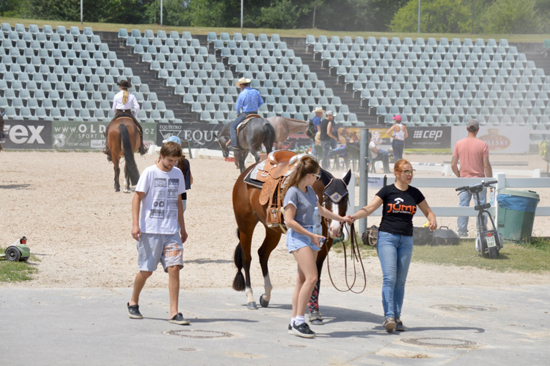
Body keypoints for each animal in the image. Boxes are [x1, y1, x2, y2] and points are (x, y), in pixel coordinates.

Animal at [233, 157, 354, 318]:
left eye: (345, 197)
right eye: (326, 198)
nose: (335, 228)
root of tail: (244, 174)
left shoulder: (323, 247)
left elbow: (316, 275)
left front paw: (314, 310)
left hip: (272, 231)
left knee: (262, 254)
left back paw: (266, 296)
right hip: (246, 225)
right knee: (246, 258)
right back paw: (250, 298)